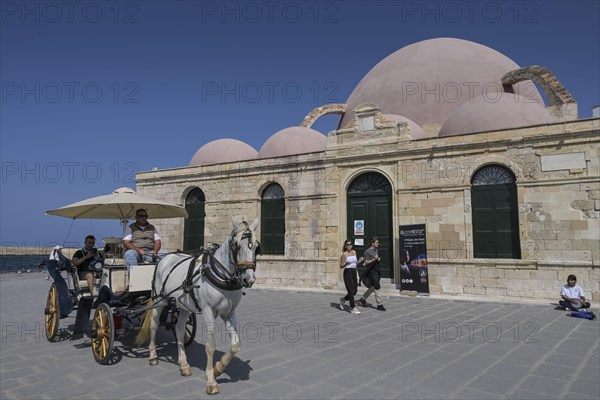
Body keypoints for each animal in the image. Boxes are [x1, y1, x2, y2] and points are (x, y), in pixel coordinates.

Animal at [137, 219, 258, 394]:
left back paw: (184, 365)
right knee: (154, 325)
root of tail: (165, 258)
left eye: (256, 247)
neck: (222, 275)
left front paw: (219, 368)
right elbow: (210, 346)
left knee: (180, 329)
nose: (248, 279)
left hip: (183, 306)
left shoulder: (229, 313)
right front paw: (211, 381)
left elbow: (236, 344)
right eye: (236, 246)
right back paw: (153, 356)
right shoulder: (208, 311)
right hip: (159, 300)